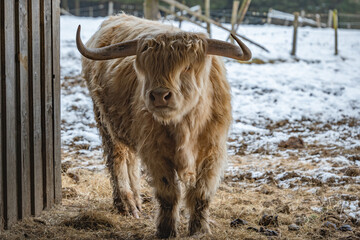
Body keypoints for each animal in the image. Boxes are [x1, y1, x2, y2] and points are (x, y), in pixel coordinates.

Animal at [76, 14, 250, 237]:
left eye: (186, 67)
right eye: (146, 68)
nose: (159, 95)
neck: (185, 126)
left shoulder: (213, 151)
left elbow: (201, 194)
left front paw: (199, 230)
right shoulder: (156, 152)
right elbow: (169, 193)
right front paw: (166, 230)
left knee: (131, 159)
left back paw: (137, 201)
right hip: (106, 122)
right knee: (117, 159)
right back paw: (127, 204)